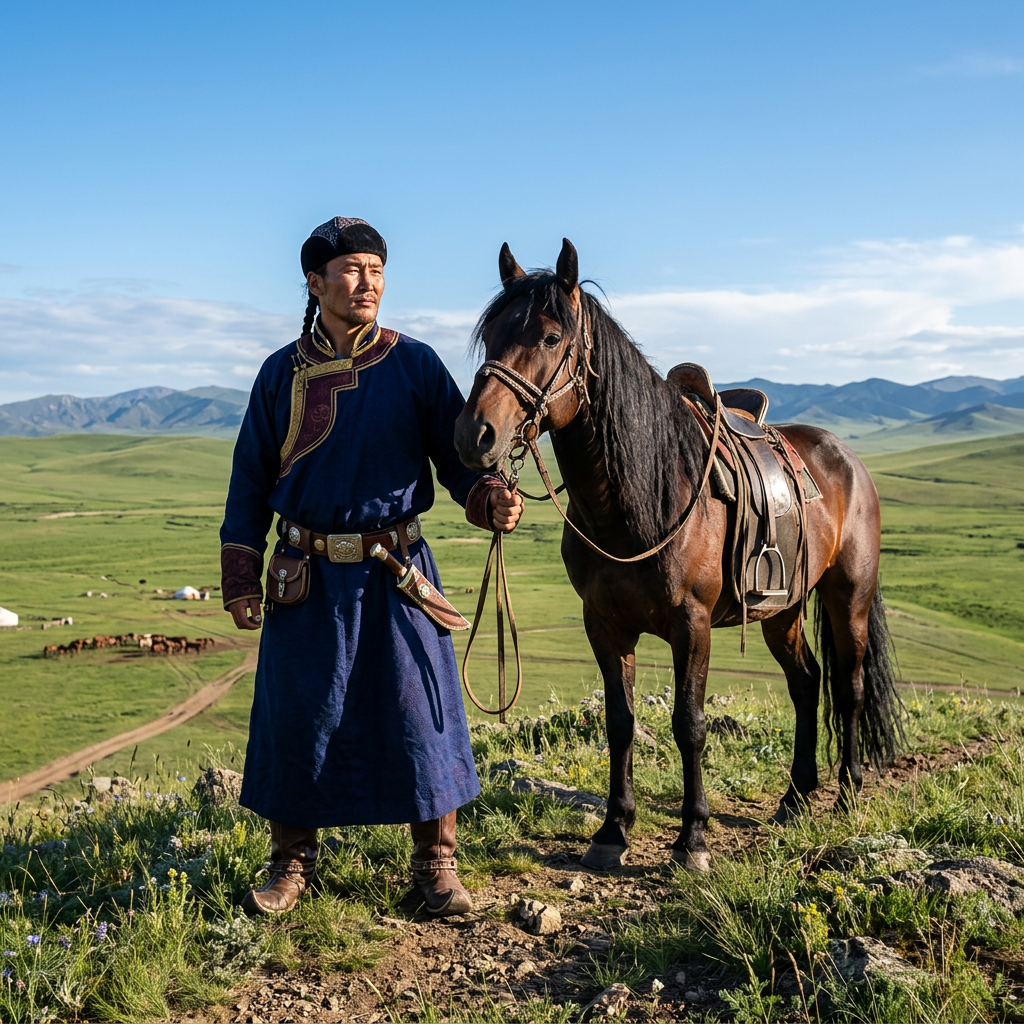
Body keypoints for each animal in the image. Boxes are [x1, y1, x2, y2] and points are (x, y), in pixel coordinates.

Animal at [454, 238, 904, 871]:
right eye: (491, 334)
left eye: (549, 337)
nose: (475, 434)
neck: (637, 499)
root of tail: (847, 457)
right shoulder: (604, 624)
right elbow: (620, 722)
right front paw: (613, 830)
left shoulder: (692, 624)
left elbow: (689, 723)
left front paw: (692, 838)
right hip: (783, 609)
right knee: (806, 682)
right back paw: (795, 797)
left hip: (849, 598)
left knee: (851, 685)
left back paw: (847, 793)